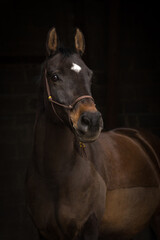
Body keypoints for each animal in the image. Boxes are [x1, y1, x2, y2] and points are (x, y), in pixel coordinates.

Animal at [26, 27, 160, 239]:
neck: (54, 177)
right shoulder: (43, 232)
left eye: (90, 75)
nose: (92, 121)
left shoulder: (89, 227)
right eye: (54, 76)